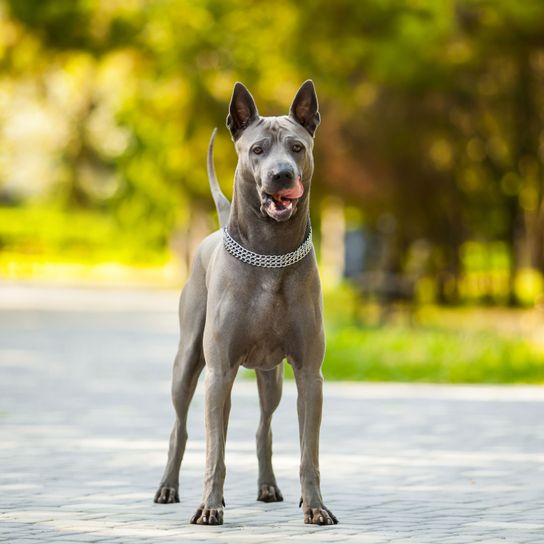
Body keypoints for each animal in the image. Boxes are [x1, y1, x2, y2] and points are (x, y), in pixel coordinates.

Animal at [154, 82, 340, 528]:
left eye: (297, 147)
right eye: (257, 149)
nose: (282, 174)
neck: (270, 254)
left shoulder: (310, 375)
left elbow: (309, 453)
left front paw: (316, 506)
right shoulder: (219, 371)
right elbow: (214, 452)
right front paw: (209, 506)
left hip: (271, 377)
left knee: (263, 427)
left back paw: (268, 486)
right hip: (190, 363)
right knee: (183, 427)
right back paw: (169, 488)